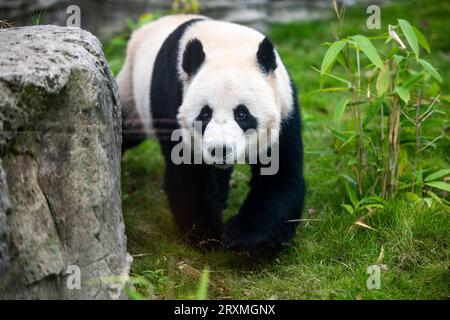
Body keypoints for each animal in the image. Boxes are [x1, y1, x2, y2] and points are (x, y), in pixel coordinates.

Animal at [117, 15, 306, 252]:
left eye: (242, 113)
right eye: (205, 114)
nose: (220, 150)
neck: (226, 45)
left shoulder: (285, 109)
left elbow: (280, 175)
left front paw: (247, 237)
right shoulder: (174, 101)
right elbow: (188, 175)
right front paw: (208, 235)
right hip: (131, 91)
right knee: (126, 129)